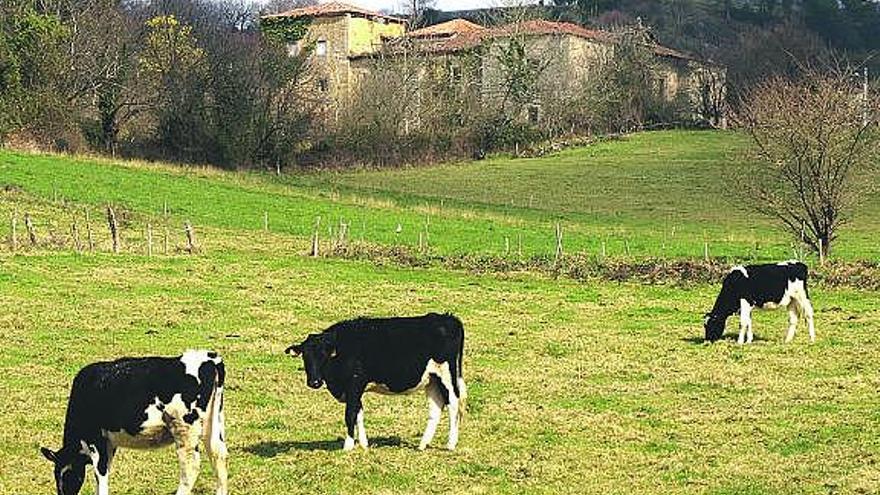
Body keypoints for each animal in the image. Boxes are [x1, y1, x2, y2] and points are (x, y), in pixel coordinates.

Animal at [40, 350, 227, 495]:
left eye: (66, 474)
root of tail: (209, 358)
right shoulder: (109, 443)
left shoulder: (96, 439)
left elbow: (100, 473)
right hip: (213, 424)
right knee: (219, 456)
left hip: (184, 429)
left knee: (190, 466)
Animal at [288, 314, 468, 454]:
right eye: (305, 356)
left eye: (324, 355)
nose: (314, 382)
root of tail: (449, 318)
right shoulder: (355, 390)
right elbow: (359, 414)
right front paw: (363, 444)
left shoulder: (354, 384)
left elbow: (350, 415)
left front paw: (348, 446)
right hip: (432, 380)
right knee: (436, 408)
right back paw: (423, 444)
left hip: (447, 374)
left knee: (453, 403)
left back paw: (450, 444)